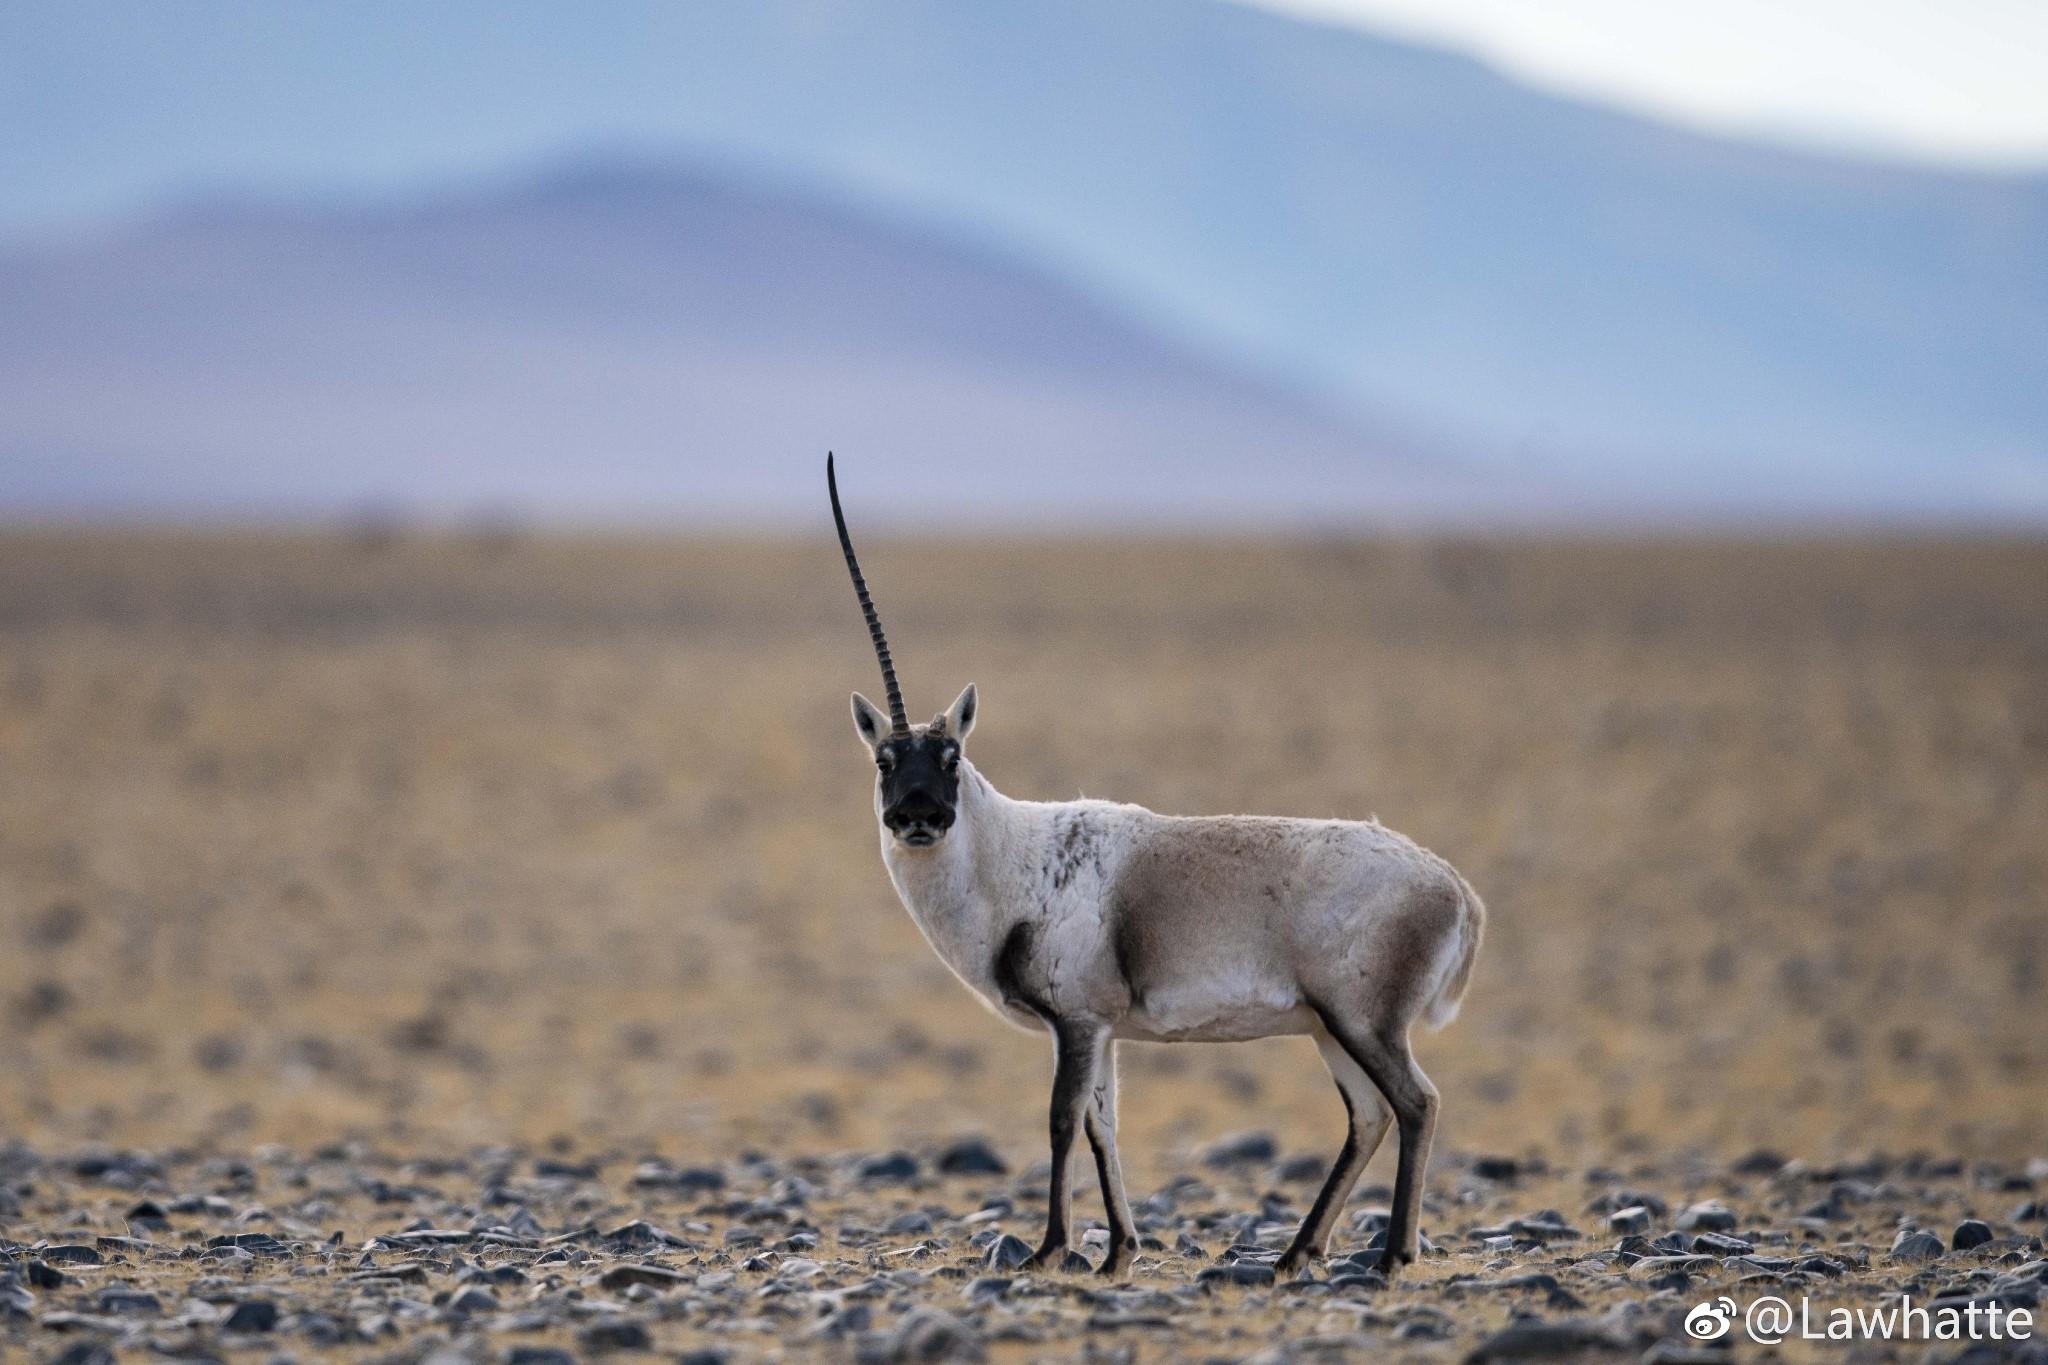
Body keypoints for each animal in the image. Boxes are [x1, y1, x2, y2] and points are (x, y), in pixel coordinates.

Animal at [823, 458, 1482, 1285]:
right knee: (1369, 1114)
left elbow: (1061, 1119)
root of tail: (1455, 888)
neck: (1015, 857)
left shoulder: (1076, 1020)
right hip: (1333, 1029)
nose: (918, 815)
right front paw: (1118, 1254)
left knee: (1416, 1103)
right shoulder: (1104, 1027)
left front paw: (1050, 1248)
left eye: (950, 754)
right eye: (886, 759)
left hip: (1363, 1022)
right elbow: (1104, 1125)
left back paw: (1390, 1255)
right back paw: (1294, 1254)